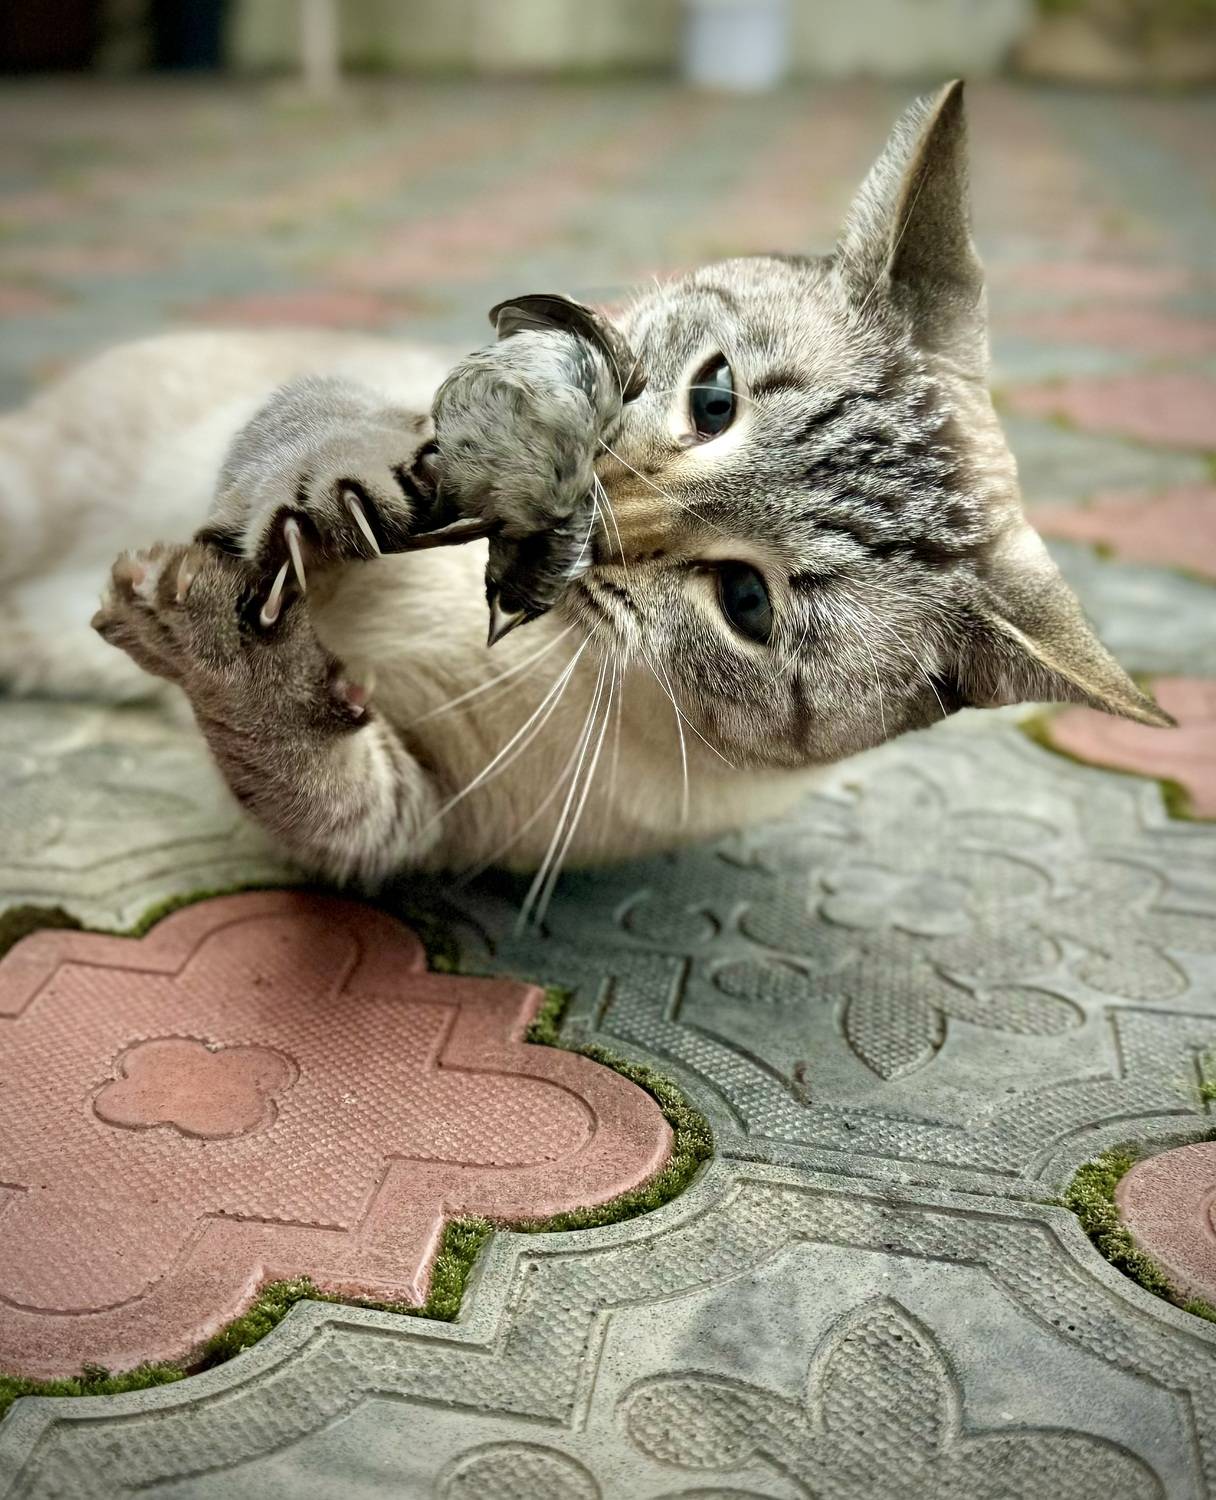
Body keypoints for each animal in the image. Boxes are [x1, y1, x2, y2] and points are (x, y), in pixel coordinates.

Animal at [0, 82, 1169, 910]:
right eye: (713, 398)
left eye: (746, 604)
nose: (591, 521)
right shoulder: (403, 420)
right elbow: (328, 440)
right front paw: (332, 501)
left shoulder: (416, 821)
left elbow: (308, 774)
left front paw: (216, 642)